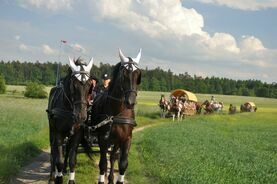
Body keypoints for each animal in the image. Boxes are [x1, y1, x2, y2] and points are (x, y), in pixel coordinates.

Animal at [90, 49, 142, 184]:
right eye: (124, 74)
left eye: (138, 75)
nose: (130, 102)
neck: (117, 112)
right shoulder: (103, 138)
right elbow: (103, 163)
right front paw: (102, 179)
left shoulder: (126, 138)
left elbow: (122, 163)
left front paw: (116, 179)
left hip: (117, 140)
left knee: (113, 156)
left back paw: (111, 178)